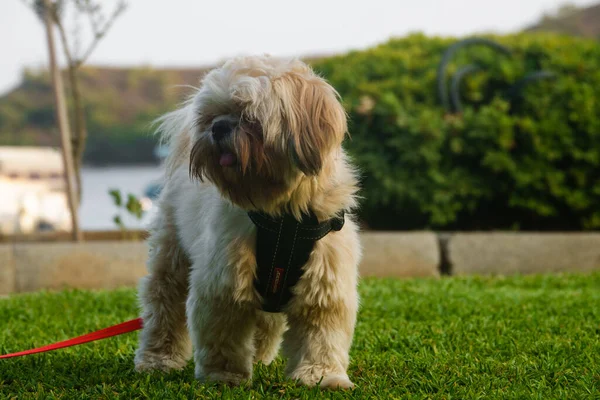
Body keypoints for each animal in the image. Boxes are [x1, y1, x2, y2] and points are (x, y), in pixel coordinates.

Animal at [133, 54, 360, 390]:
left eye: (248, 115)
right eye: (212, 116)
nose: (218, 127)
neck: (283, 217)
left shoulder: (324, 284)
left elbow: (321, 336)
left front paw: (321, 376)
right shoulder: (224, 283)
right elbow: (223, 335)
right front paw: (224, 376)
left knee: (267, 321)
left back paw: (260, 356)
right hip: (171, 259)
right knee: (165, 306)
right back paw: (157, 358)